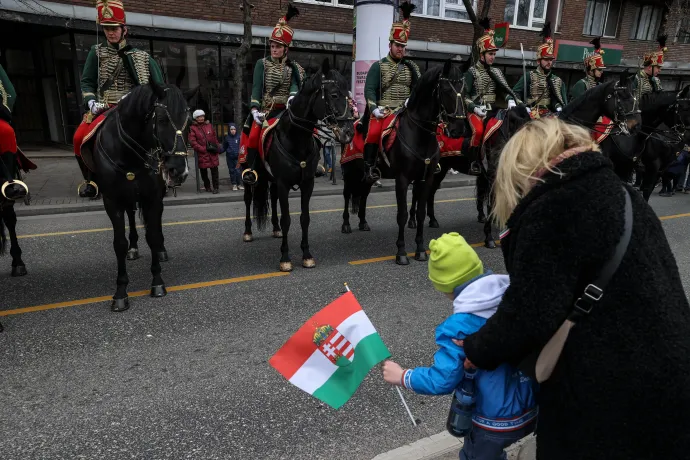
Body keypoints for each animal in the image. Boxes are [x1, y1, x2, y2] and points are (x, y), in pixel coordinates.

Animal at [88, 82, 194, 312]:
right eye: (161, 120)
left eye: (189, 122)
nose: (179, 171)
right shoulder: (112, 202)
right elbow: (119, 243)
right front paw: (120, 292)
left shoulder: (151, 197)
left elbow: (152, 235)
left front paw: (157, 282)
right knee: (131, 215)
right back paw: (133, 248)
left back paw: (160, 250)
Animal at [242, 59, 352, 272]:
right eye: (334, 94)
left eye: (348, 94)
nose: (349, 132)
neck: (295, 138)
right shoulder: (284, 183)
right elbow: (287, 219)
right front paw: (285, 258)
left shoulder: (306, 183)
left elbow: (304, 218)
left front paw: (307, 255)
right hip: (249, 176)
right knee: (248, 199)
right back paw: (248, 232)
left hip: (272, 179)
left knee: (273, 198)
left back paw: (275, 229)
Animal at [342, 59, 464, 264]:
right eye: (447, 89)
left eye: (464, 88)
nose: (458, 129)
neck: (420, 134)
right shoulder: (402, 179)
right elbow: (402, 214)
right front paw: (401, 252)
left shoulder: (426, 178)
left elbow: (421, 212)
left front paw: (421, 250)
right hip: (349, 172)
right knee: (346, 195)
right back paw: (345, 225)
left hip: (367, 177)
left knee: (363, 195)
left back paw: (363, 222)